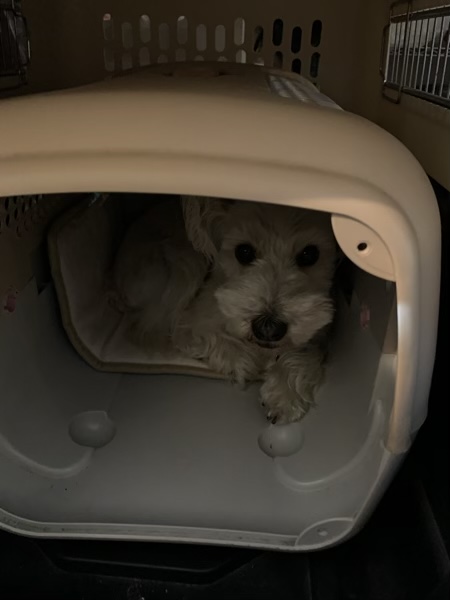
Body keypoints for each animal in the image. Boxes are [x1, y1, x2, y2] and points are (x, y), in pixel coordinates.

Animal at [112, 196, 338, 423]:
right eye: (243, 251)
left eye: (310, 254)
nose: (268, 329)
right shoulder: (199, 315)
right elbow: (204, 336)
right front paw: (244, 361)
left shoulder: (317, 326)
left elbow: (307, 350)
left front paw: (285, 394)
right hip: (185, 266)